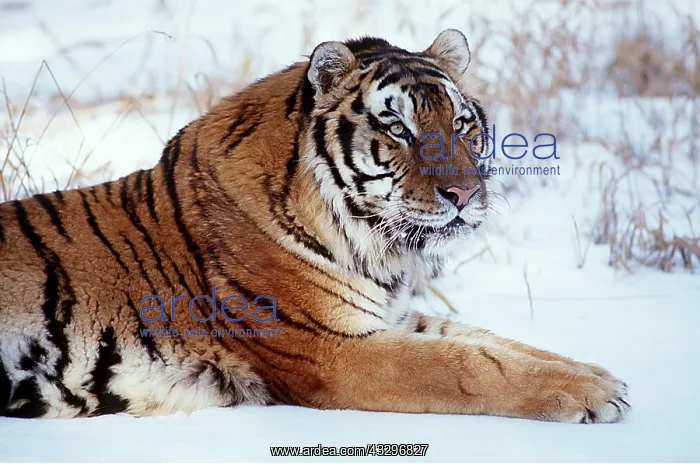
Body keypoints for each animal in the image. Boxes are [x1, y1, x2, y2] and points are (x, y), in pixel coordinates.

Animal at [0, 29, 630, 422]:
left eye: (462, 124)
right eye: (398, 128)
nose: (467, 194)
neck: (376, 247)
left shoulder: (389, 316)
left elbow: (492, 341)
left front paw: (597, 373)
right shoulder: (330, 350)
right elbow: (466, 364)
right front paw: (593, 392)